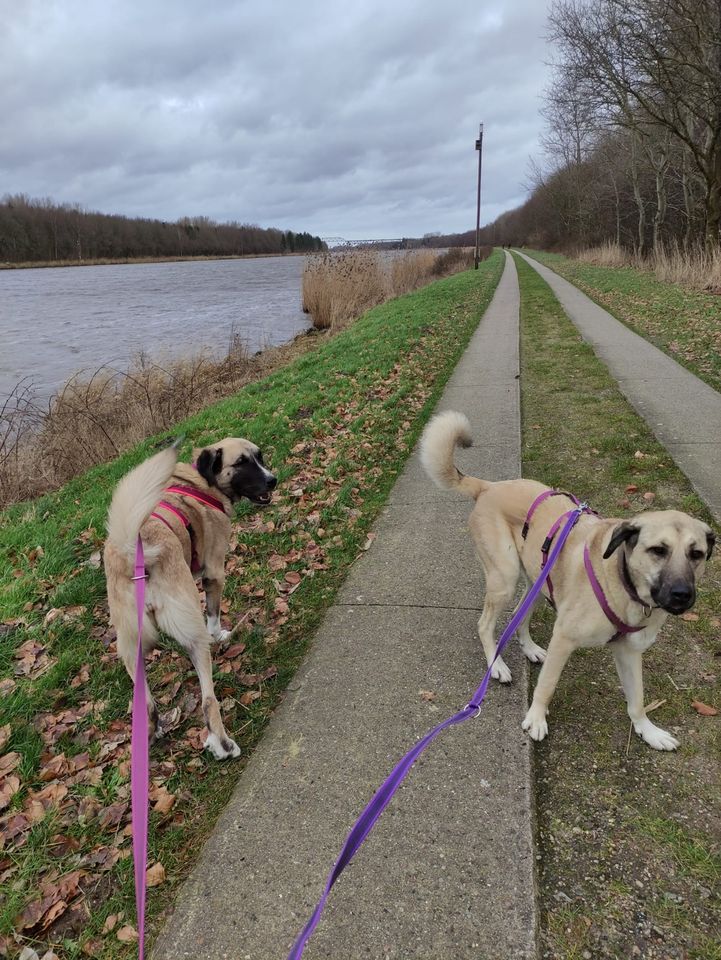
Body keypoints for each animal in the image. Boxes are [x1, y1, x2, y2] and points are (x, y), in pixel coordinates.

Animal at [104, 438, 276, 760]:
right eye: (241, 463)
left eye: (260, 457)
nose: (273, 480)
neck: (202, 482)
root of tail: (134, 553)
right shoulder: (214, 573)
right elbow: (214, 614)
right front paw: (220, 635)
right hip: (191, 634)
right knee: (208, 699)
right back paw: (222, 743)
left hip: (131, 645)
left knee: (146, 703)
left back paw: (152, 732)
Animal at [420, 410, 712, 752]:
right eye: (658, 550)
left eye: (697, 554)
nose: (682, 595)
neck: (623, 583)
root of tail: (489, 487)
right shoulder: (564, 639)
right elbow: (546, 685)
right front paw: (536, 718)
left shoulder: (629, 653)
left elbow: (637, 700)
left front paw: (648, 730)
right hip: (505, 578)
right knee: (485, 624)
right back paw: (498, 665)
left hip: (537, 582)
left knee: (519, 616)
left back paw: (531, 649)